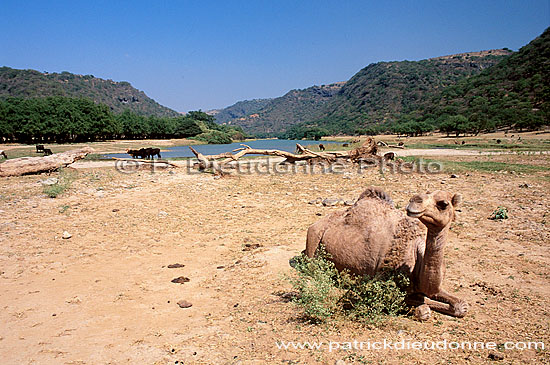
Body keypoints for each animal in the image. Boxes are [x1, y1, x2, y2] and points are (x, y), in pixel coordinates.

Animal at [306, 186, 470, 318]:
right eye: (427, 193)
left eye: (443, 204)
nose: (415, 200)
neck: (417, 249)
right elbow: (422, 310)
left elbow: (461, 306)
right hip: (313, 237)